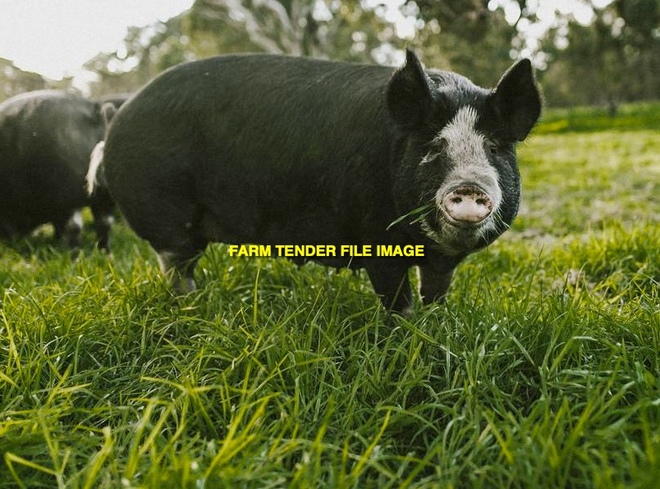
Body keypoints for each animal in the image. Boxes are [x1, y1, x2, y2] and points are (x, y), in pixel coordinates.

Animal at [0, 90, 123, 249]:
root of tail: (96, 111)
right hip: (104, 197)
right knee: (104, 225)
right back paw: (104, 252)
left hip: (71, 198)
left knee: (75, 227)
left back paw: (73, 254)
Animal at [96, 50, 541, 312]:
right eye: (434, 147)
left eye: (494, 148)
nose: (468, 187)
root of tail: (116, 120)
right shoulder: (374, 239)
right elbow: (396, 300)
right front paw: (405, 335)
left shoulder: (439, 260)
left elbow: (436, 291)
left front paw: (437, 324)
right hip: (164, 212)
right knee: (175, 264)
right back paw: (194, 308)